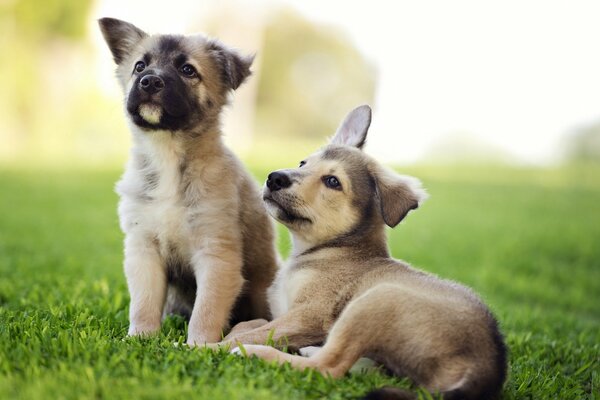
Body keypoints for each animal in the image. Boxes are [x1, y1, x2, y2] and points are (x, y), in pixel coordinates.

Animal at [98, 17, 276, 346]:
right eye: (140, 66)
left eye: (187, 70)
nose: (150, 82)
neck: (167, 152)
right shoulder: (144, 249)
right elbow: (143, 303)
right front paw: (141, 338)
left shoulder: (216, 254)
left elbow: (206, 310)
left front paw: (198, 346)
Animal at [218, 104, 508, 398]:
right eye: (303, 163)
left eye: (332, 181)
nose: (275, 178)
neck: (333, 248)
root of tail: (487, 369)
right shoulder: (280, 313)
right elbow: (249, 324)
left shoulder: (308, 316)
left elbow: (250, 333)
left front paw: (213, 345)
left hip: (375, 301)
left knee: (328, 366)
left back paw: (253, 353)